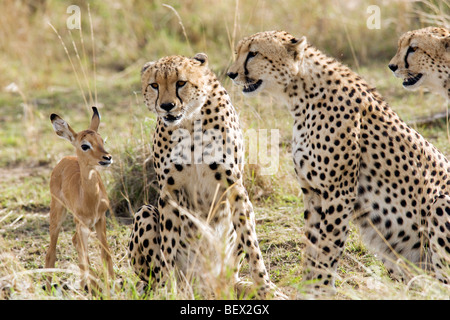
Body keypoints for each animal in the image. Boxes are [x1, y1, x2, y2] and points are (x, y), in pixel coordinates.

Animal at [45, 106, 114, 292]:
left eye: (102, 141)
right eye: (85, 145)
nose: (107, 157)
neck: (90, 200)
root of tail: (64, 159)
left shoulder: (100, 219)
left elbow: (105, 254)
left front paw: (112, 286)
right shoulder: (82, 224)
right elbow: (85, 259)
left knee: (75, 242)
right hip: (58, 213)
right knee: (52, 251)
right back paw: (48, 286)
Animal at [128, 53, 284, 300]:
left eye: (181, 83)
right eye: (154, 85)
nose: (166, 106)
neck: (190, 121)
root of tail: (205, 285)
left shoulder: (234, 186)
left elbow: (252, 245)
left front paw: (265, 286)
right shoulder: (169, 192)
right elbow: (167, 247)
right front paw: (169, 290)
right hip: (145, 211)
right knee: (152, 276)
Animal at [229, 31, 450, 294]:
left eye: (253, 53)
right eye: (239, 51)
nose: (231, 74)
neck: (300, 94)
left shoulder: (338, 192)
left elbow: (327, 247)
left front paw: (320, 290)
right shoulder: (312, 192)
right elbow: (312, 246)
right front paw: (308, 287)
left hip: (440, 204)